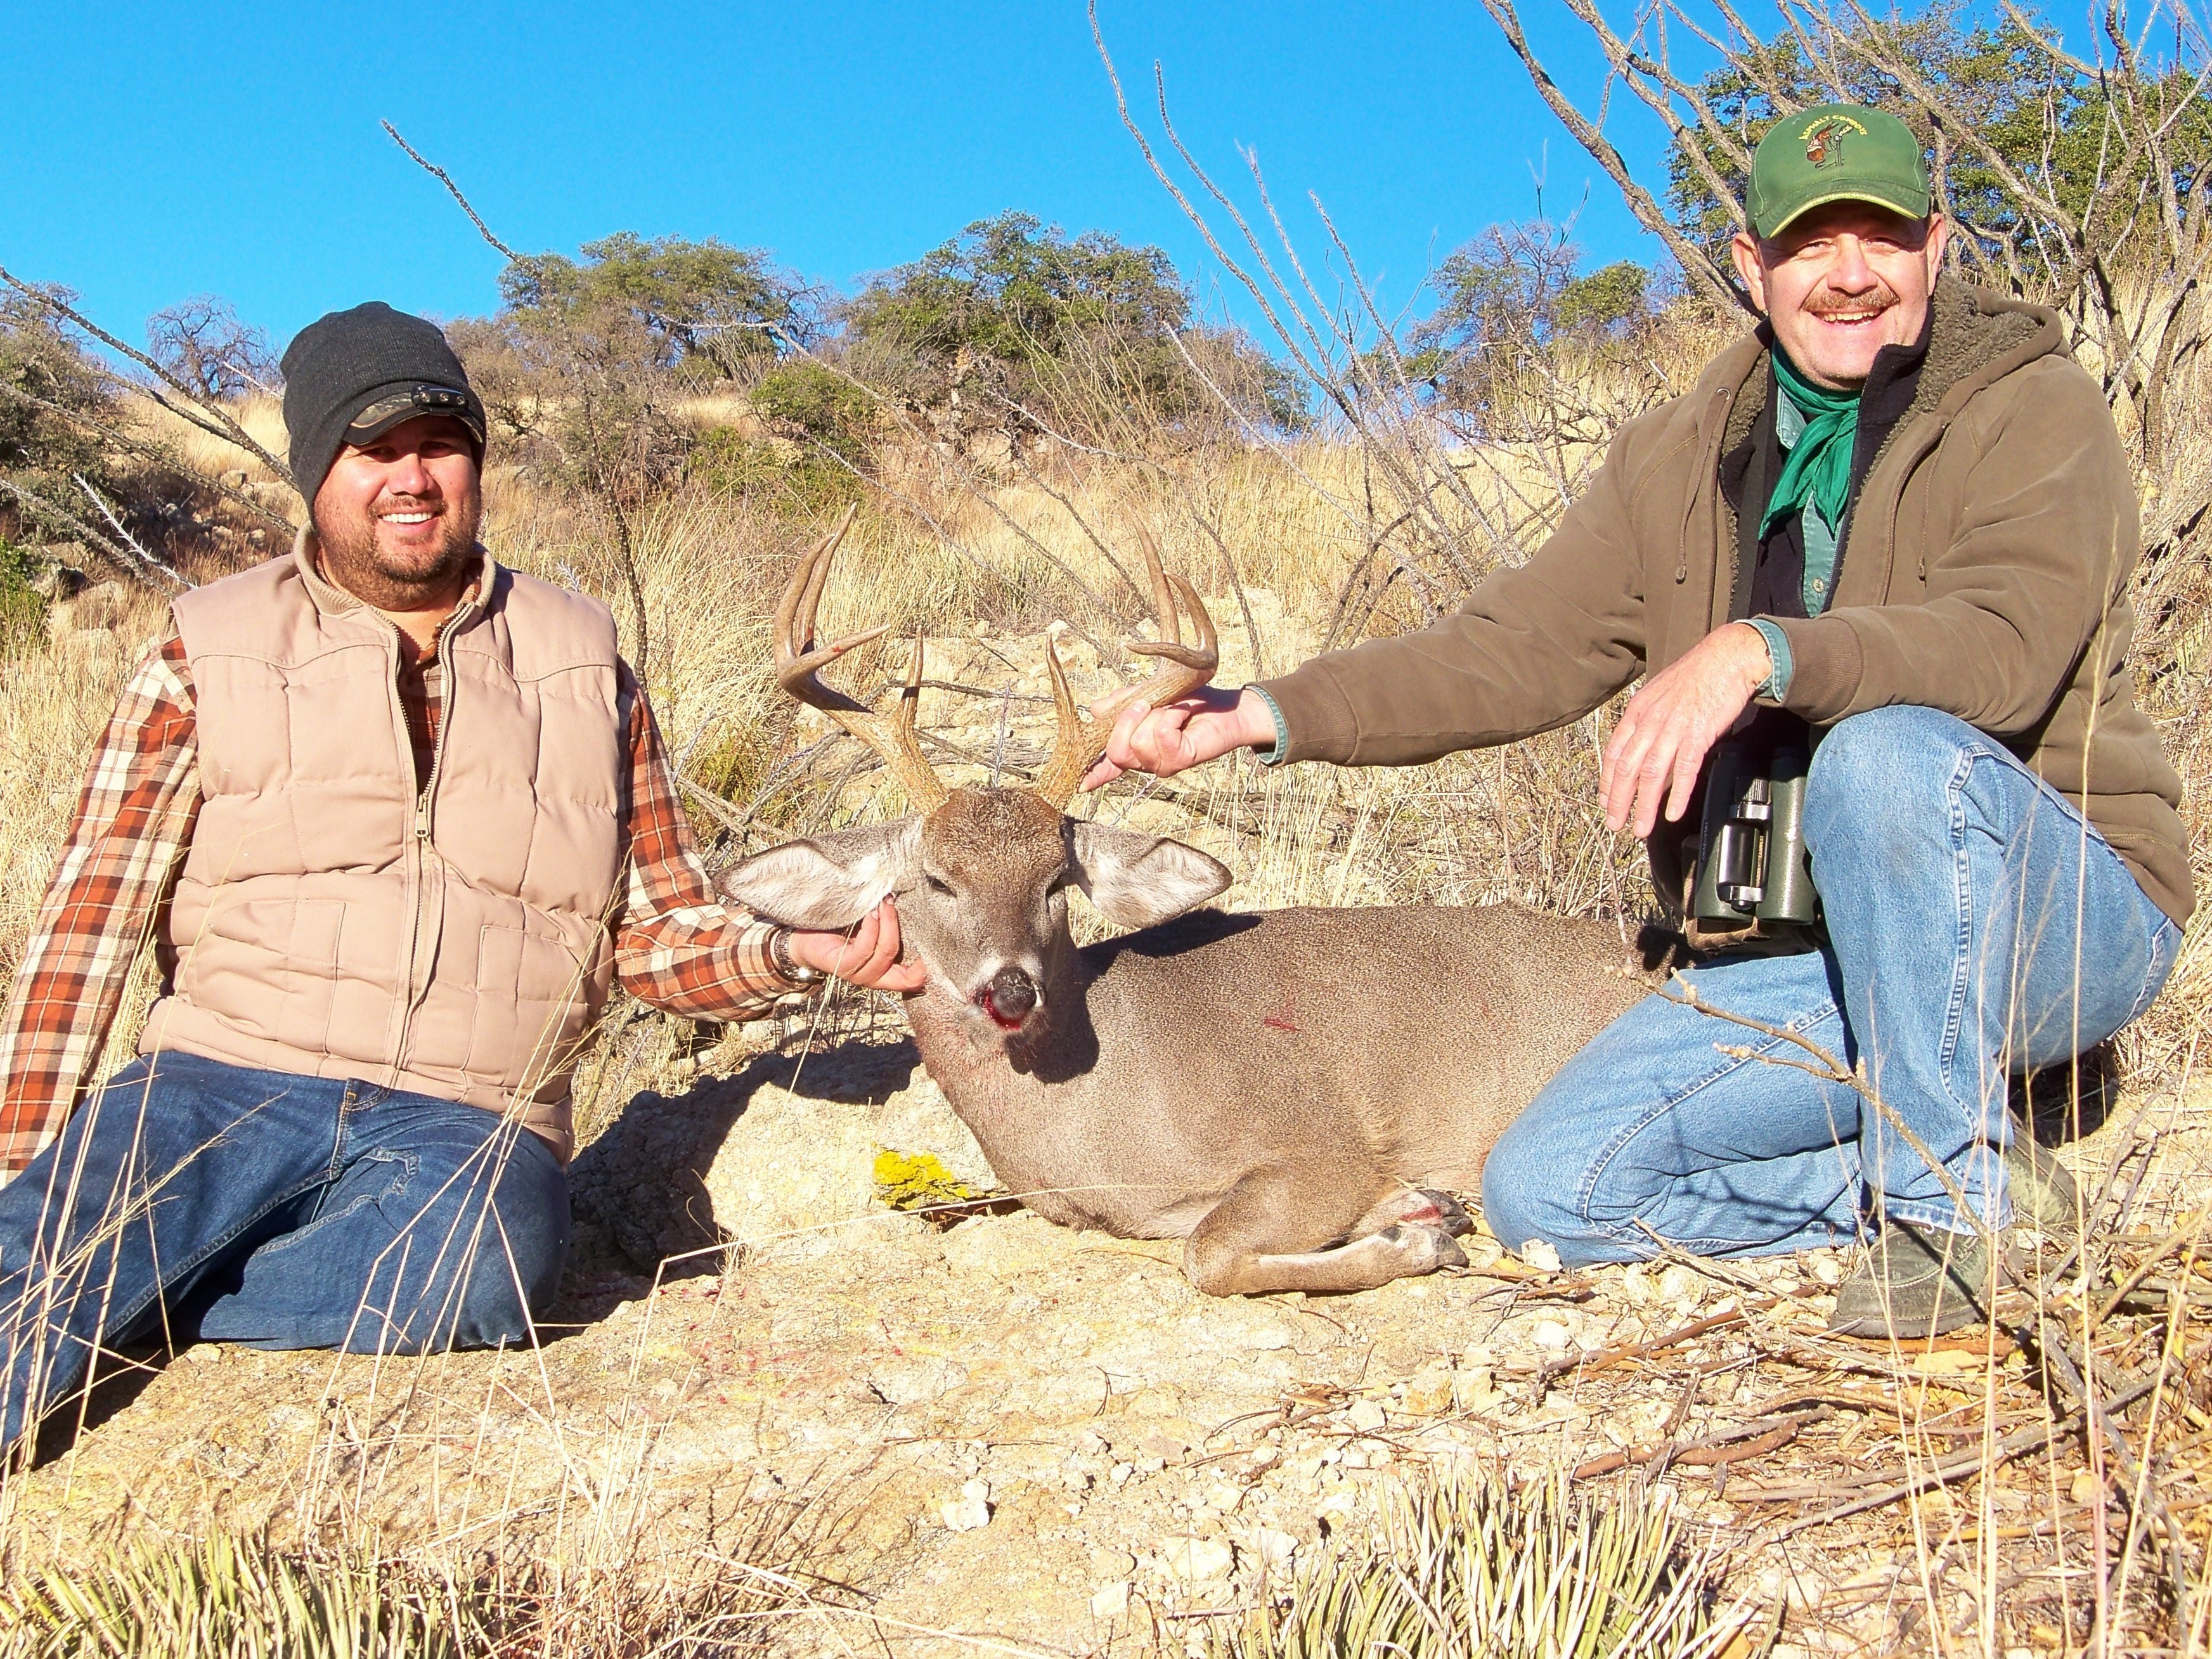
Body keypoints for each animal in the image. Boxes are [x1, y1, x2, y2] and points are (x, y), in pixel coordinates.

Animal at [721, 519, 1663, 1300]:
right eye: (935, 882)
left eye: (1054, 881)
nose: (1012, 989)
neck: (1094, 1120)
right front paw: (1420, 1218)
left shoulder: (1319, 1143)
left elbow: (1205, 1255)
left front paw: (1420, 1232)